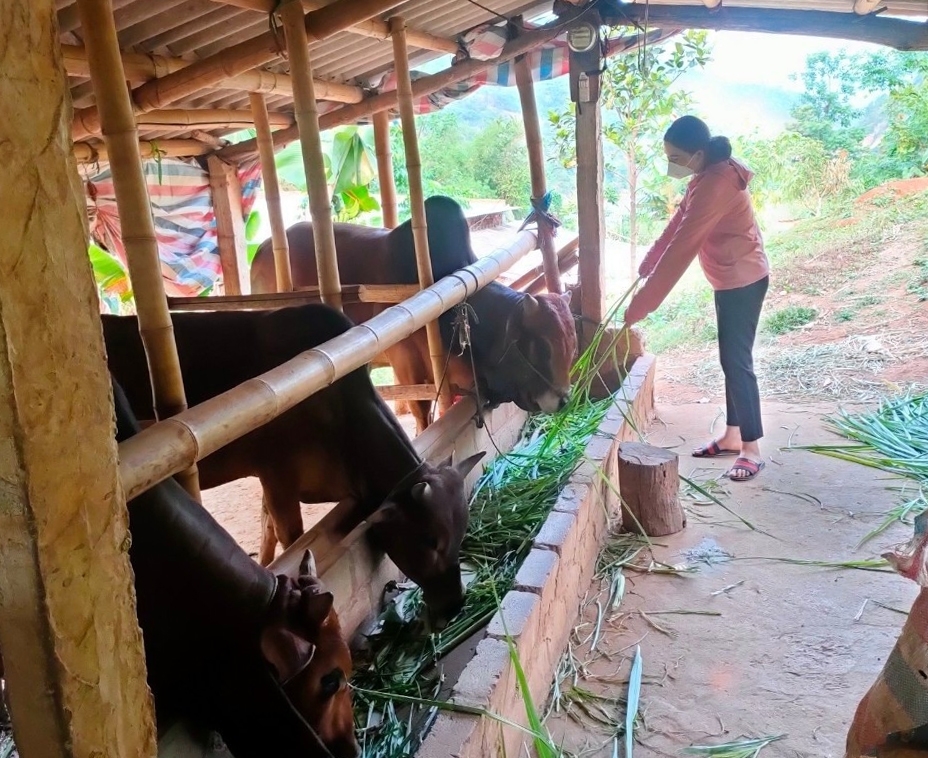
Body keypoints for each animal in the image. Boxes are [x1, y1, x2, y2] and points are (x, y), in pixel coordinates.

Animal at [102, 304, 486, 628]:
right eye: (430, 540)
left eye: (461, 529)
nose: (454, 605)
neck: (341, 414)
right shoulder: (277, 478)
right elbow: (290, 536)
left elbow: (267, 528)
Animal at [250, 194, 576, 434]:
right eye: (542, 347)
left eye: (571, 346)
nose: (563, 400)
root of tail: (262, 250)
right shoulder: (409, 365)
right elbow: (423, 415)